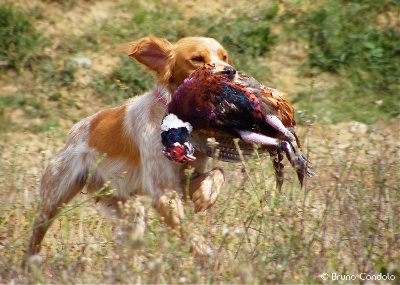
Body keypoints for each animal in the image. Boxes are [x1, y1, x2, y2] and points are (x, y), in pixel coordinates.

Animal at [28, 36, 234, 256]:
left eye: (224, 57)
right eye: (197, 59)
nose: (230, 72)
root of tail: (75, 130)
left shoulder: (184, 181)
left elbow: (217, 172)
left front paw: (205, 196)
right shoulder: (163, 192)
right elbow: (189, 231)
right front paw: (206, 253)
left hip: (132, 213)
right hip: (53, 200)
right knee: (36, 235)